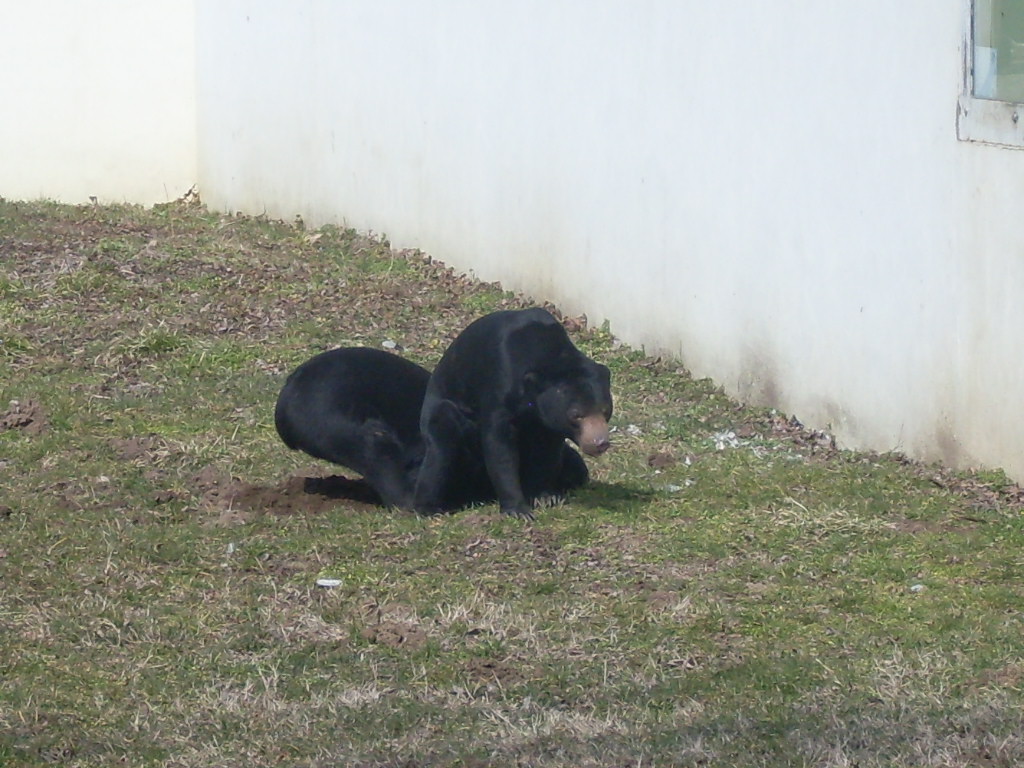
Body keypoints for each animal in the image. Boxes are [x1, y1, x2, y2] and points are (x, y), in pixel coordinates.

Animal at [414, 308, 613, 519]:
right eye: (576, 415)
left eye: (605, 411)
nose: (599, 443)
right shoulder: (500, 383)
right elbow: (499, 445)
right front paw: (519, 511)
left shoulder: (546, 419)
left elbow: (546, 450)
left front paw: (545, 497)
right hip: (441, 414)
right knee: (441, 447)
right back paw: (430, 508)